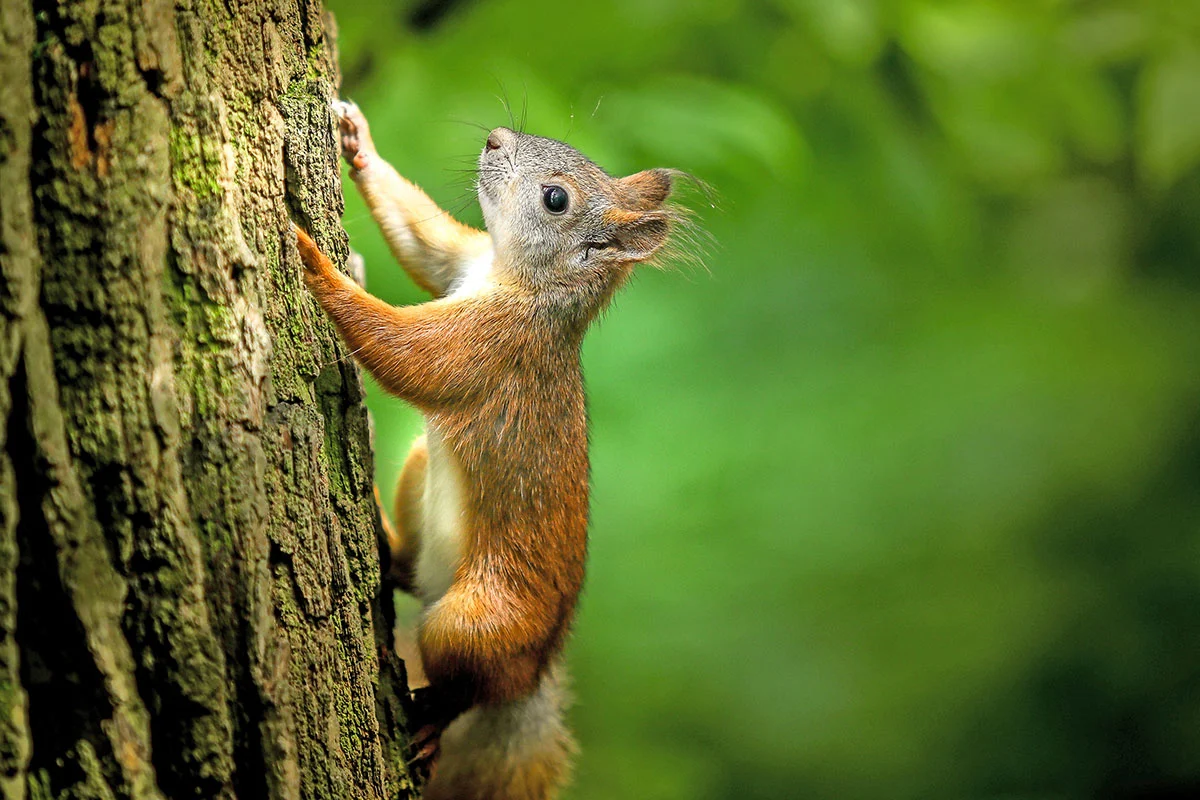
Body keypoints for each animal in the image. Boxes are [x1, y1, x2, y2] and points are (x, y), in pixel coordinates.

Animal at [292, 100, 686, 800]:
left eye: (556, 198)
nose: (496, 139)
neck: (514, 279)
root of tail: (531, 679)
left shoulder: (494, 344)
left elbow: (403, 353)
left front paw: (317, 266)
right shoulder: (463, 262)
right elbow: (427, 244)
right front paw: (357, 141)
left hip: (476, 625)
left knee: (468, 686)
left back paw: (432, 721)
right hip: (420, 476)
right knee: (410, 569)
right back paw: (387, 547)